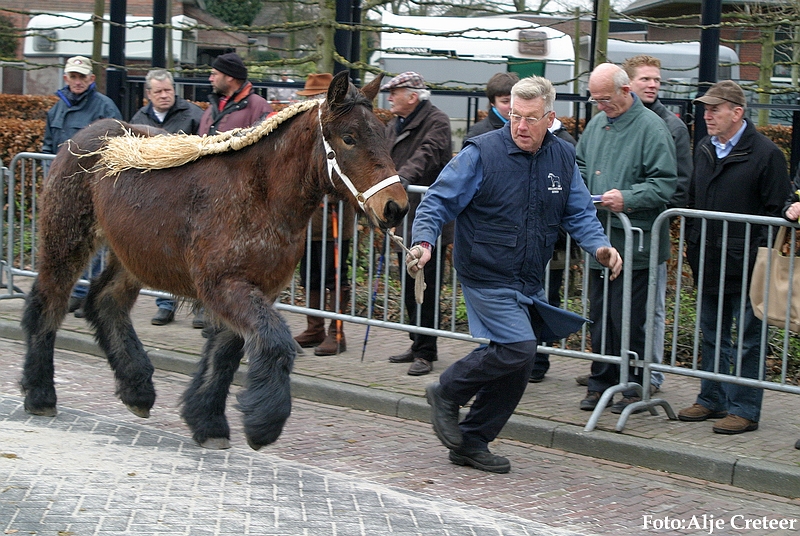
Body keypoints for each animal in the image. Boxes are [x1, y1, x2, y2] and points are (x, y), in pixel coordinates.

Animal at [20, 70, 406, 448]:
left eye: (383, 134)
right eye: (349, 137)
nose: (395, 207)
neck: (259, 195)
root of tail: (83, 136)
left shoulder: (254, 289)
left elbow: (225, 354)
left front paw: (208, 421)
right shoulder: (224, 285)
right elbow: (274, 342)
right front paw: (263, 422)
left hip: (133, 257)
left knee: (105, 301)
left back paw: (137, 390)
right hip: (66, 243)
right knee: (49, 303)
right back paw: (40, 394)